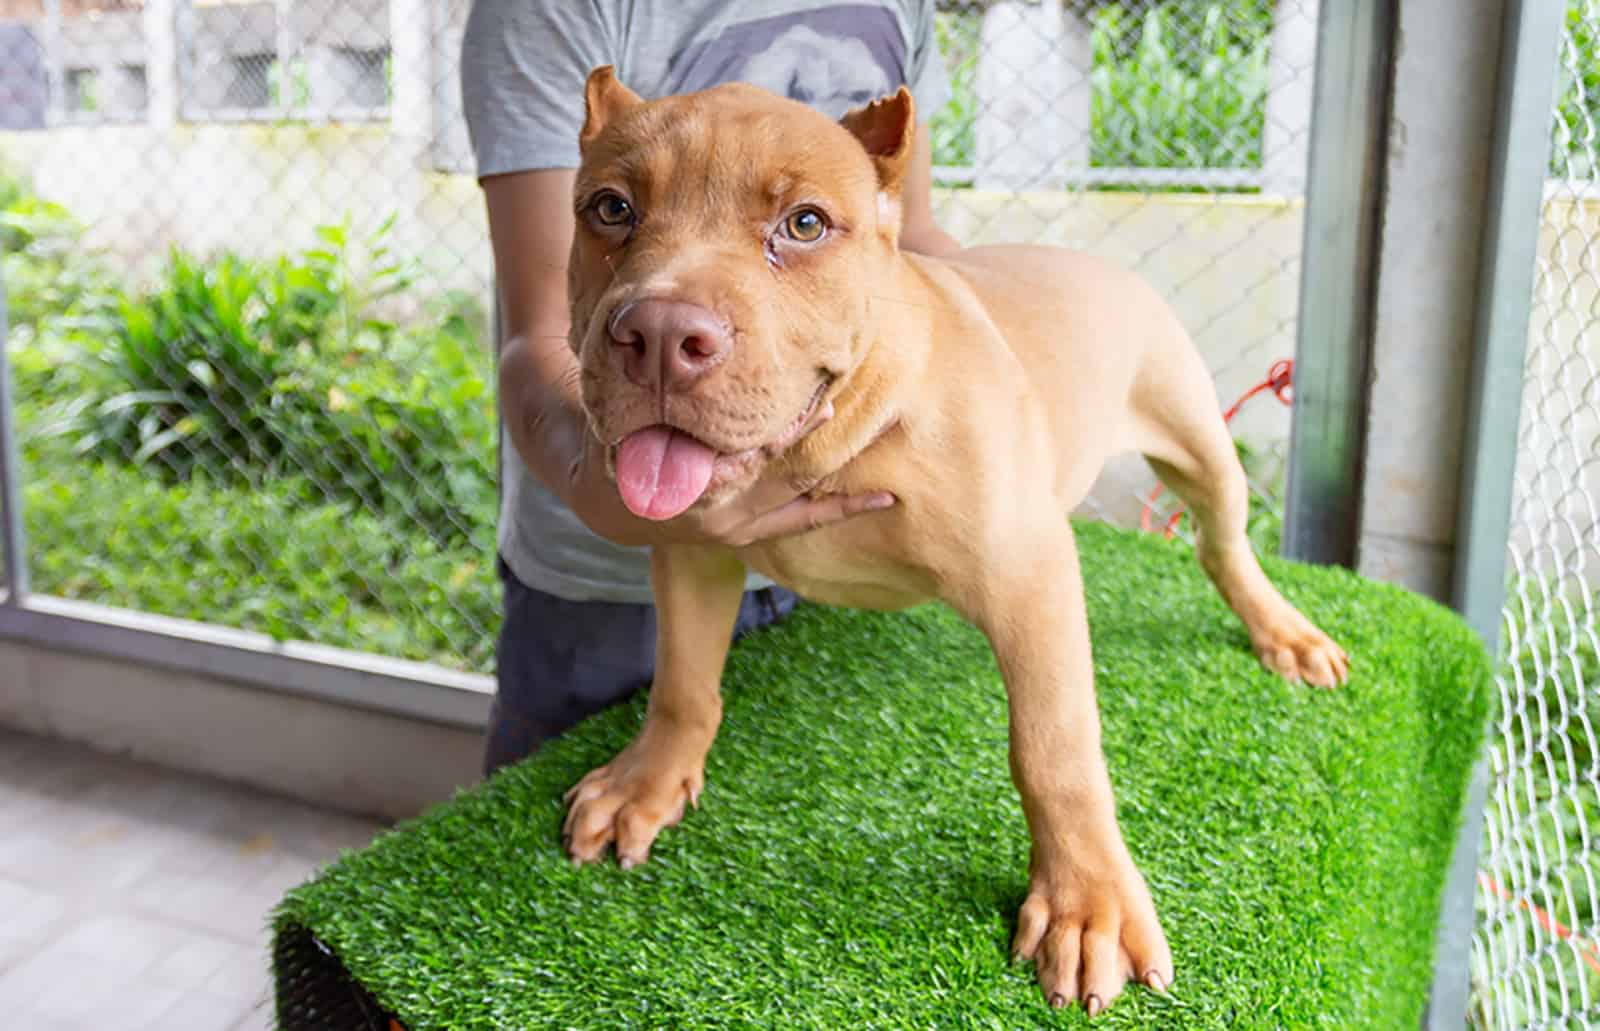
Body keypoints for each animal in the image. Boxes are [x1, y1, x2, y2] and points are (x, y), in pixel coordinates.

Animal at [556, 66, 1344, 1011]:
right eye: (610, 209)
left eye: (805, 225)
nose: (662, 337)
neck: (824, 441)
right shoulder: (692, 547)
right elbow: (682, 683)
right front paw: (647, 779)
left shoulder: (1029, 573)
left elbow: (1054, 747)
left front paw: (1087, 903)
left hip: (1200, 440)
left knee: (1222, 544)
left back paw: (1283, 632)